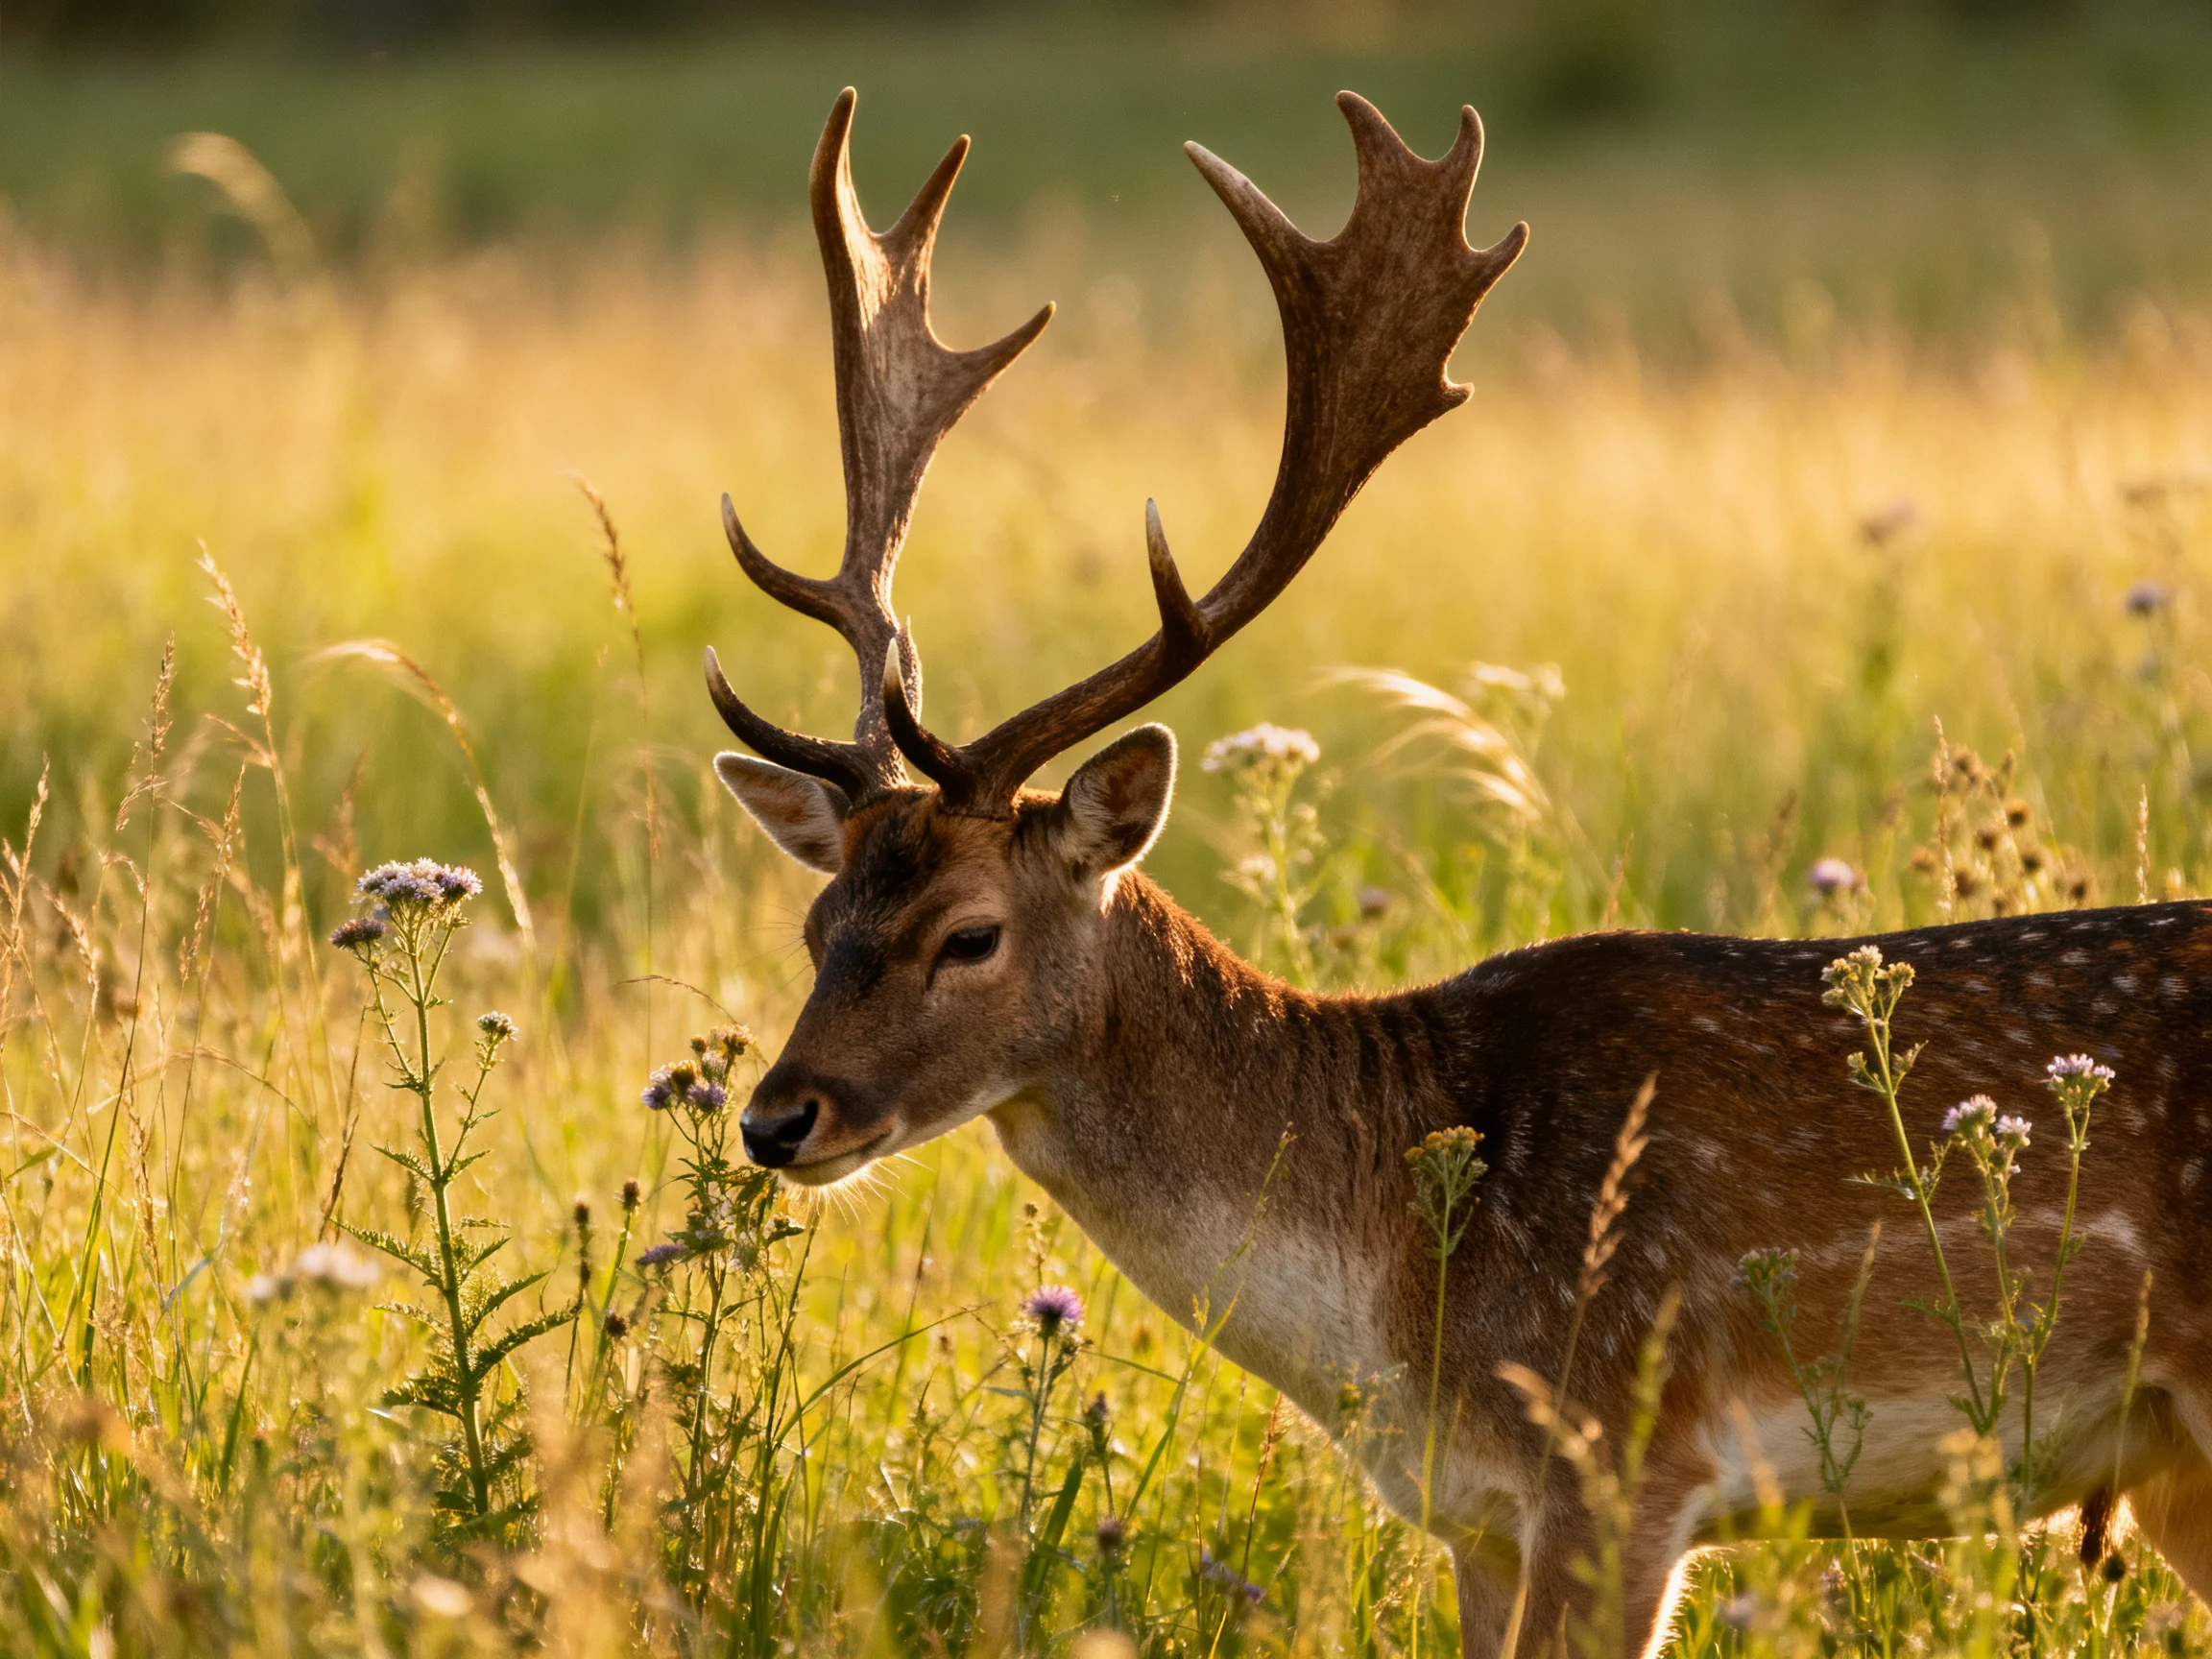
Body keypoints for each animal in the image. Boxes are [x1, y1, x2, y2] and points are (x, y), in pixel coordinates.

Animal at [699, 87, 2212, 1658]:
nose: (776, 1118)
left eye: (970, 934)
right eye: (818, 921)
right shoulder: (1475, 1513)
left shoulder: (1622, 1456)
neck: (1397, 1305)